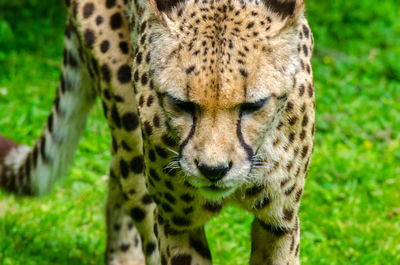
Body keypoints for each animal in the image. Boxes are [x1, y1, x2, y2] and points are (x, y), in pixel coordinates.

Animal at [0, 0, 314, 262]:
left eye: (254, 105)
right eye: (181, 104)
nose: (213, 170)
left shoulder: (279, 223)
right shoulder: (177, 224)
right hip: (127, 121)